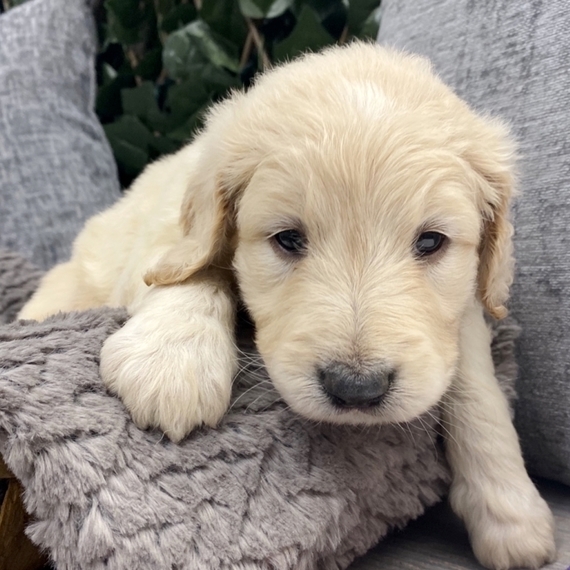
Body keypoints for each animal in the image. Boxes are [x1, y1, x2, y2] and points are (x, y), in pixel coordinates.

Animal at [18, 45, 556, 568]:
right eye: (288, 239)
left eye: (430, 242)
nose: (355, 389)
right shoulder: (168, 236)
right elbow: (198, 267)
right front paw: (171, 362)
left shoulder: (463, 308)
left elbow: (474, 380)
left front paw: (510, 513)